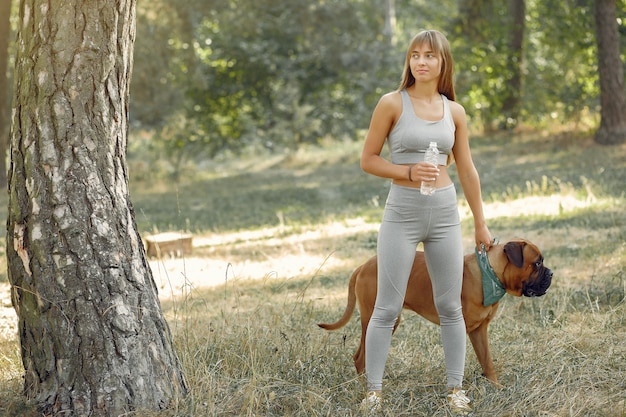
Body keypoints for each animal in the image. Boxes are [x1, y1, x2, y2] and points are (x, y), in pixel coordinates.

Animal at [316, 237, 552, 384]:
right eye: (537, 263)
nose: (551, 274)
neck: (489, 274)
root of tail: (363, 266)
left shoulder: (479, 331)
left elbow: (487, 361)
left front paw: (495, 386)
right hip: (376, 318)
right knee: (360, 356)